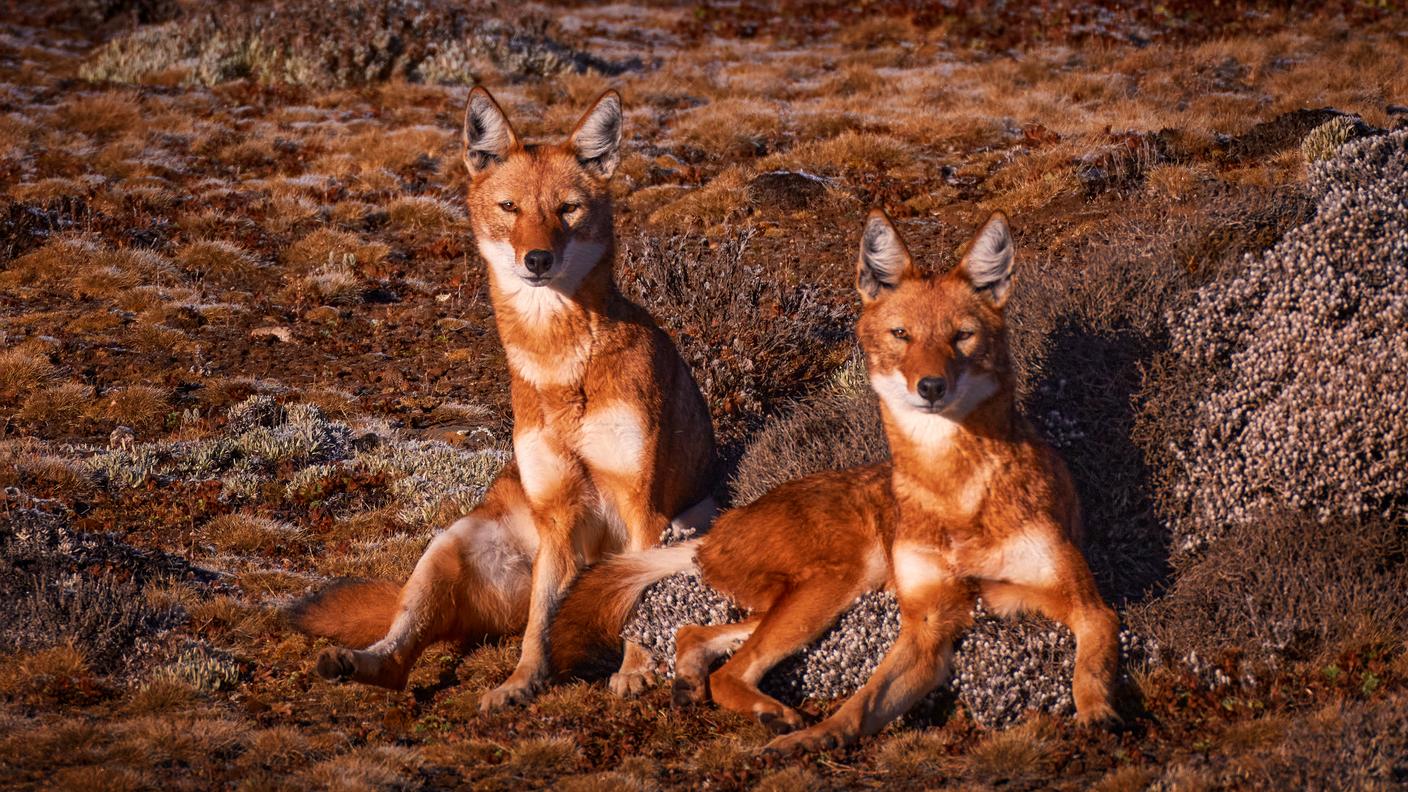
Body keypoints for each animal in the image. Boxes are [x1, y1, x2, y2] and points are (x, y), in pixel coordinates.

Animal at [290, 87, 718, 712]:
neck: (561, 370)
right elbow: (540, 630)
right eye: (510, 207)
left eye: (567, 209)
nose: (536, 259)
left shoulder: (644, 507)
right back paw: (356, 663)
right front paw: (522, 682)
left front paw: (635, 672)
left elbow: (639, 601)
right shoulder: (558, 515)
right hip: (449, 547)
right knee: (406, 650)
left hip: (689, 524)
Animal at [550, 210, 1119, 747]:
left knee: (696, 636)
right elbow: (863, 701)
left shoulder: (1086, 606)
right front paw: (814, 738)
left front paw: (1098, 716)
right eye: (901, 335)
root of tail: (721, 526)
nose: (931, 386)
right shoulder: (927, 625)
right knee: (729, 667)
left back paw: (692, 686)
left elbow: (1090, 668)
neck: (954, 491)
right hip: (837, 583)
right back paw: (768, 714)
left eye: (962, 336)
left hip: (819, 596)